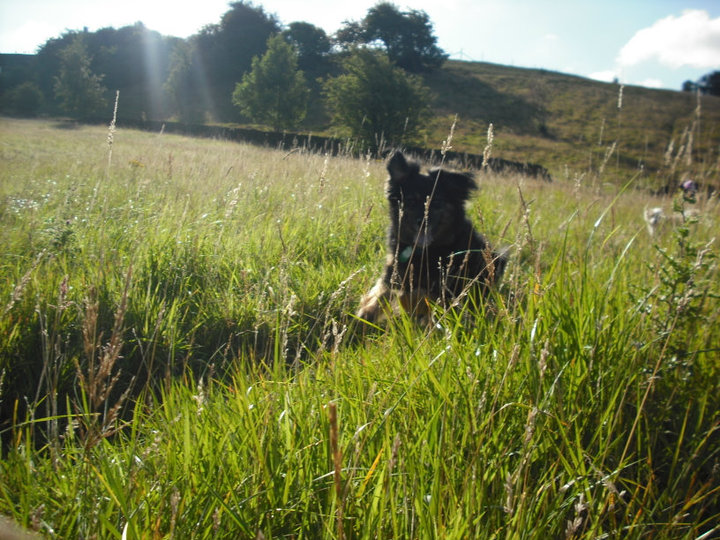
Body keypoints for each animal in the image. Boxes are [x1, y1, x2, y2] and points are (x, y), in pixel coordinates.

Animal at [356, 150, 506, 322]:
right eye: (411, 201)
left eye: (437, 203)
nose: (422, 221)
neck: (422, 251)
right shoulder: (393, 272)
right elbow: (376, 299)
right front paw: (360, 320)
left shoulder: (440, 289)